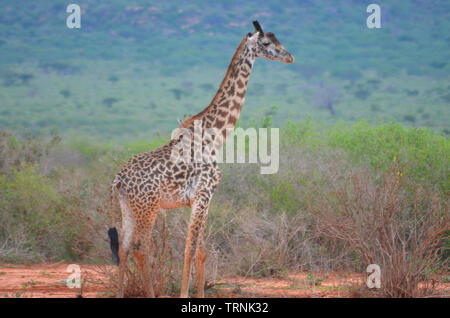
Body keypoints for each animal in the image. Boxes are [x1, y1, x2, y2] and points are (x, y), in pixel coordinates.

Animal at [107, 21, 294, 296]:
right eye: (267, 42)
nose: (290, 56)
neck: (214, 135)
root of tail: (118, 179)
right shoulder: (203, 194)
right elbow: (189, 250)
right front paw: (185, 294)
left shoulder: (202, 199)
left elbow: (201, 252)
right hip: (147, 207)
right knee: (141, 247)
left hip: (128, 207)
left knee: (124, 246)